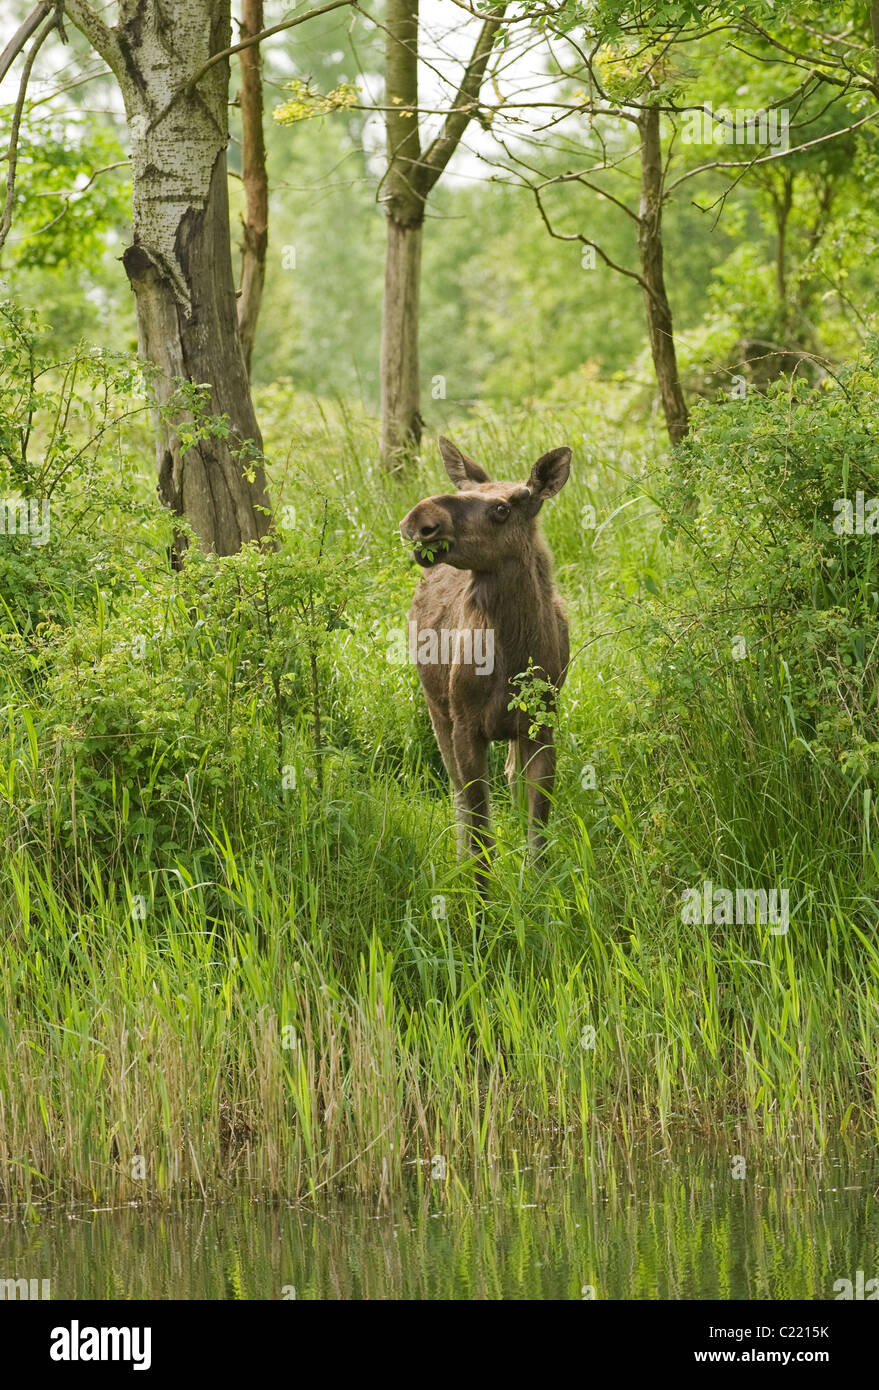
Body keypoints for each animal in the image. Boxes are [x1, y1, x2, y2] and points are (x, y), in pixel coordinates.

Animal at [400, 433, 573, 872]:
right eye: (464, 491)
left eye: (501, 508)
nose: (419, 520)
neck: (511, 658)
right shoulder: (465, 725)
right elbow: (480, 830)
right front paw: (477, 883)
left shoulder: (541, 724)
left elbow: (537, 829)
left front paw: (536, 880)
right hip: (436, 707)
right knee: (457, 790)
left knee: (510, 775)